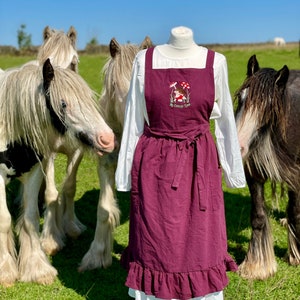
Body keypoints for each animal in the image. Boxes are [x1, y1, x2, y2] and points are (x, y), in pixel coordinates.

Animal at [0, 58, 115, 286]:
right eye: (63, 104)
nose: (107, 138)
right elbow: (4, 220)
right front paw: (6, 272)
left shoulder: (34, 171)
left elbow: (30, 218)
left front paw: (37, 268)